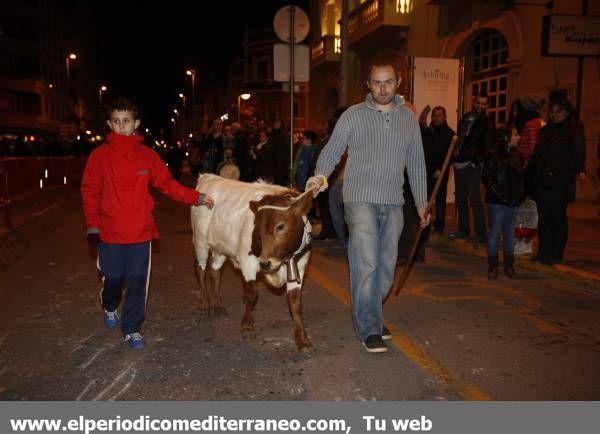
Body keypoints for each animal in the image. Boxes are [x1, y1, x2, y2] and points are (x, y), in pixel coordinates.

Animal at [192, 175, 314, 354]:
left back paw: (218, 305)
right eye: (259, 228)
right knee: (200, 268)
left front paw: (303, 341)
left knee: (214, 271)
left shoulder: (300, 267)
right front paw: (247, 327)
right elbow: (251, 295)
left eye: (280, 226)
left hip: (221, 247)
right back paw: (202, 304)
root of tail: (208, 177)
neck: (283, 258)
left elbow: (295, 304)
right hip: (200, 241)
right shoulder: (247, 262)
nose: (265, 264)